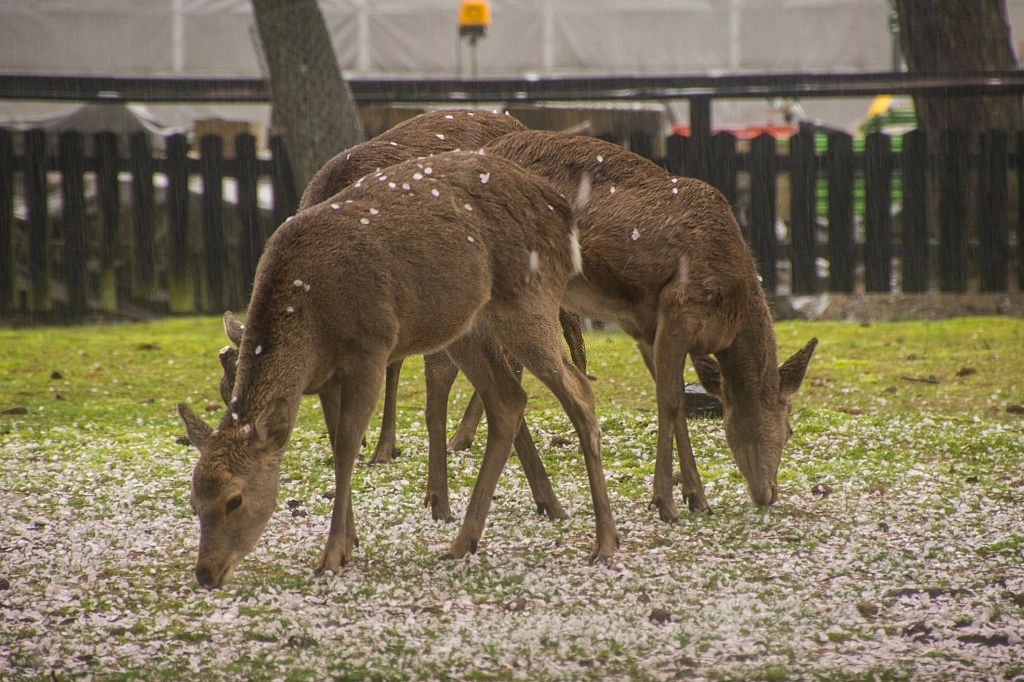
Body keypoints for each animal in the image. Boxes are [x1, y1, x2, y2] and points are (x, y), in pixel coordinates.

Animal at [176, 151, 614, 585]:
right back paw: (462, 543)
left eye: (235, 499)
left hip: (529, 300)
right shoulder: (326, 378)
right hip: (468, 327)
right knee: (508, 400)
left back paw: (605, 544)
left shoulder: (369, 350)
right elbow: (336, 444)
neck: (310, 321)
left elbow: (347, 448)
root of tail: (564, 213)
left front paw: (332, 554)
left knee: (580, 391)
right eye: (195, 502)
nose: (205, 573)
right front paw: (349, 541)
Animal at [425, 129, 815, 520]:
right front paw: (666, 501)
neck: (730, 318)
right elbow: (669, 400)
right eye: (789, 429)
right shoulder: (681, 306)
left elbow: (674, 398)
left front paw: (694, 497)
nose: (769, 493)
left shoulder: (646, 328)